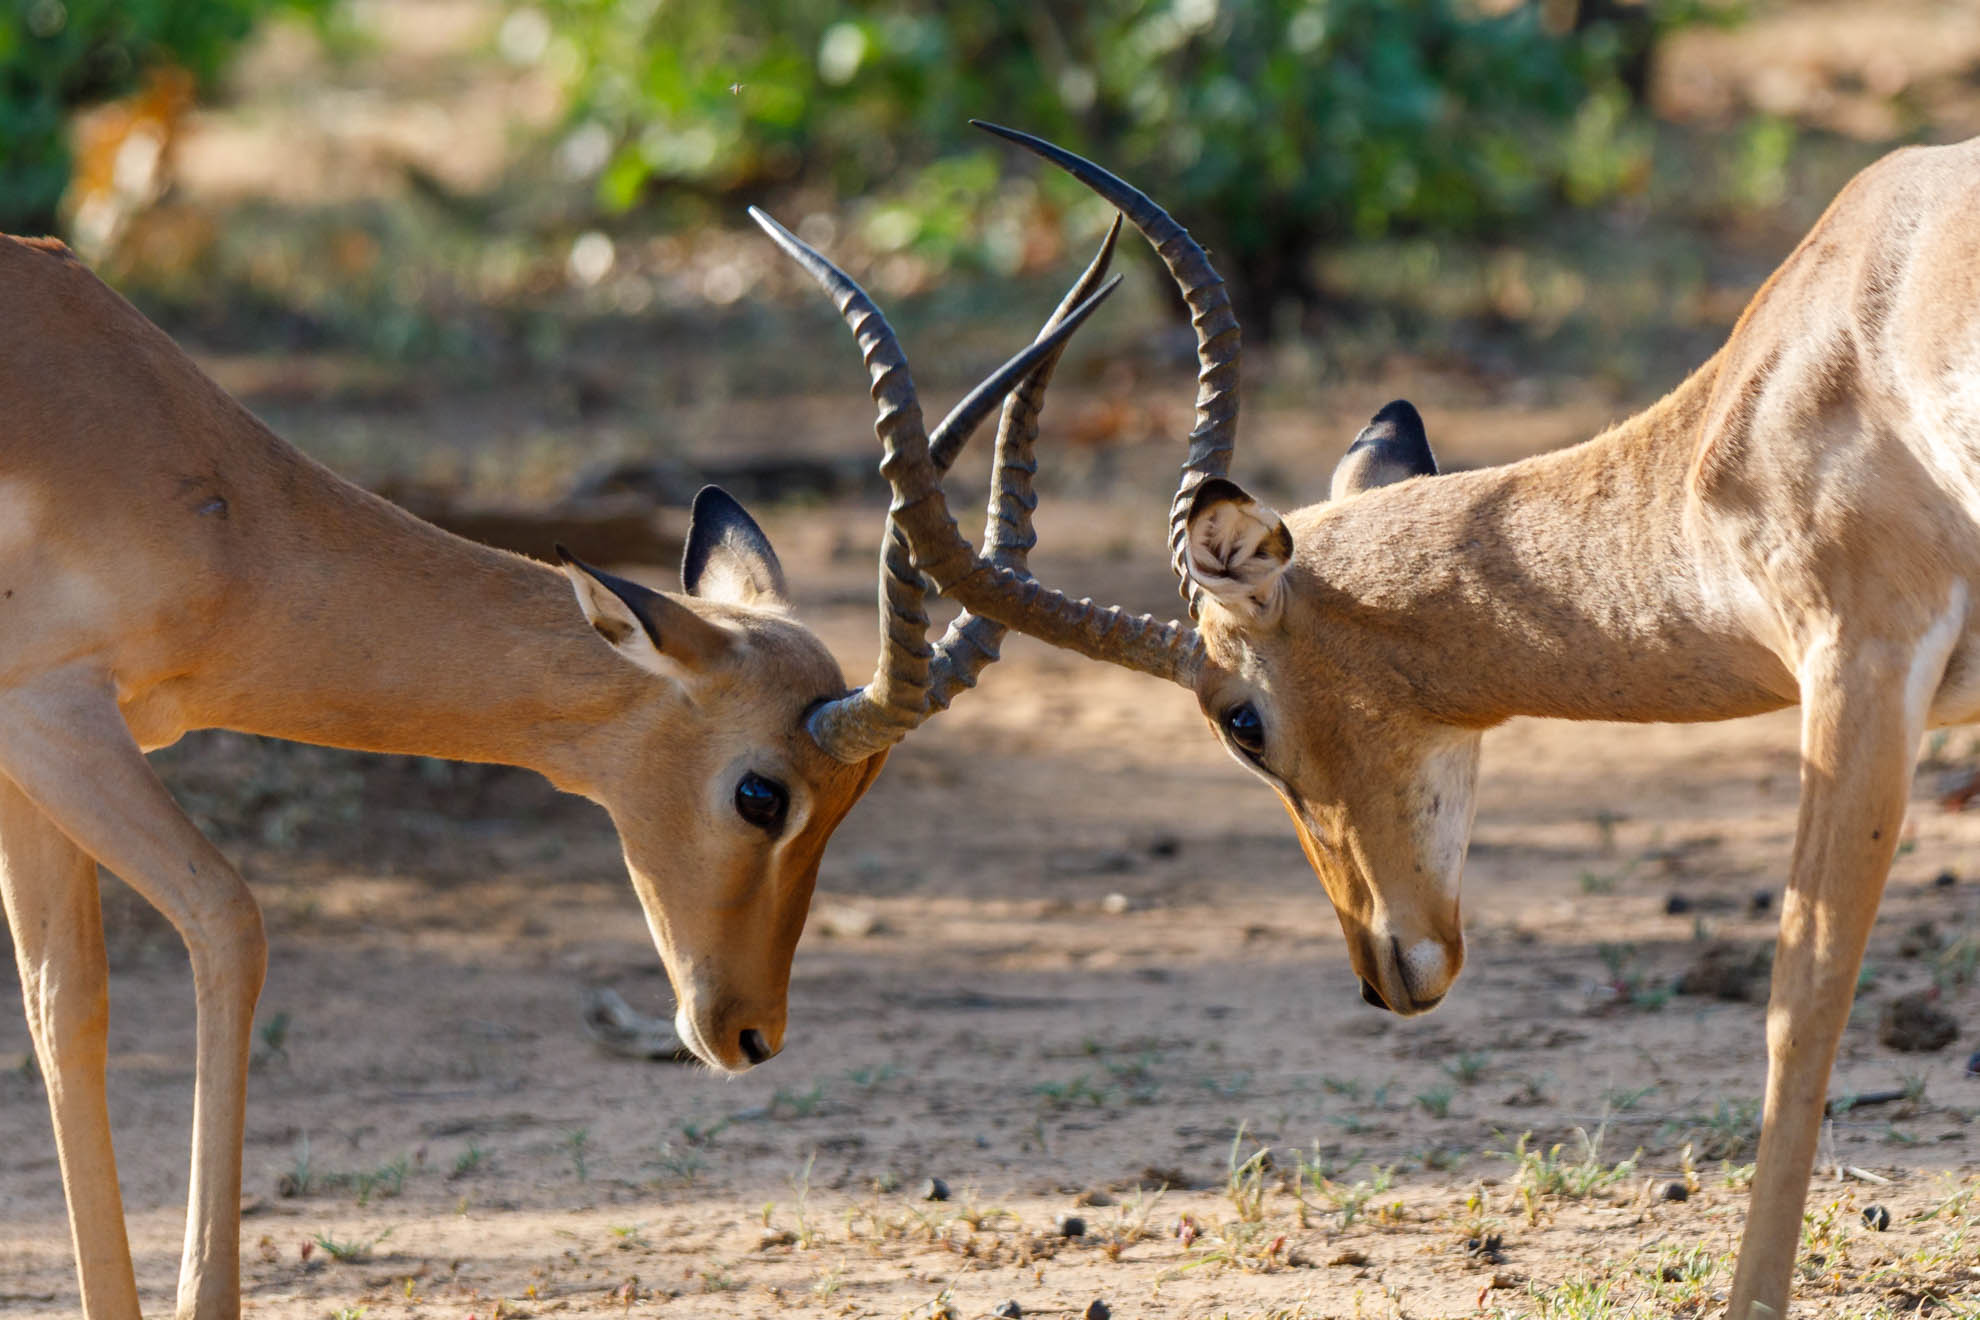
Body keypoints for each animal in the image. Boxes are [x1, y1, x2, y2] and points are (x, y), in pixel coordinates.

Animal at [0, 223, 1117, 1320]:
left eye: (855, 798)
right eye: (762, 794)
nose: (752, 1032)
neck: (200, 486)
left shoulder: (38, 766)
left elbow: (66, 1007)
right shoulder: (52, 717)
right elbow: (229, 925)